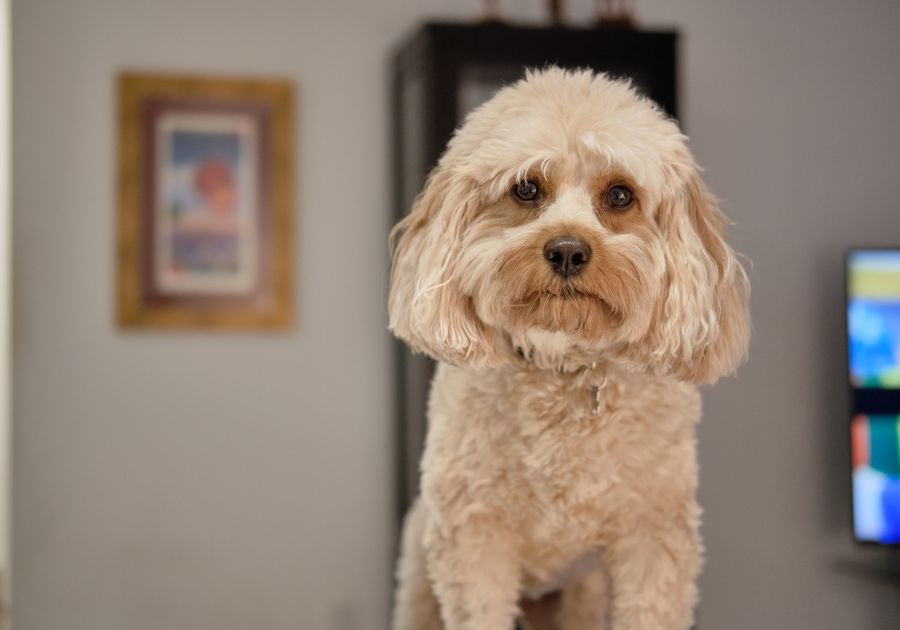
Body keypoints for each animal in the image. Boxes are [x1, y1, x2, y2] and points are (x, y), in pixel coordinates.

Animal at [390, 68, 748, 630]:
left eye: (620, 194)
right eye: (526, 188)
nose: (566, 250)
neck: (564, 368)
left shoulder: (654, 538)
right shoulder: (473, 537)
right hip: (421, 583)